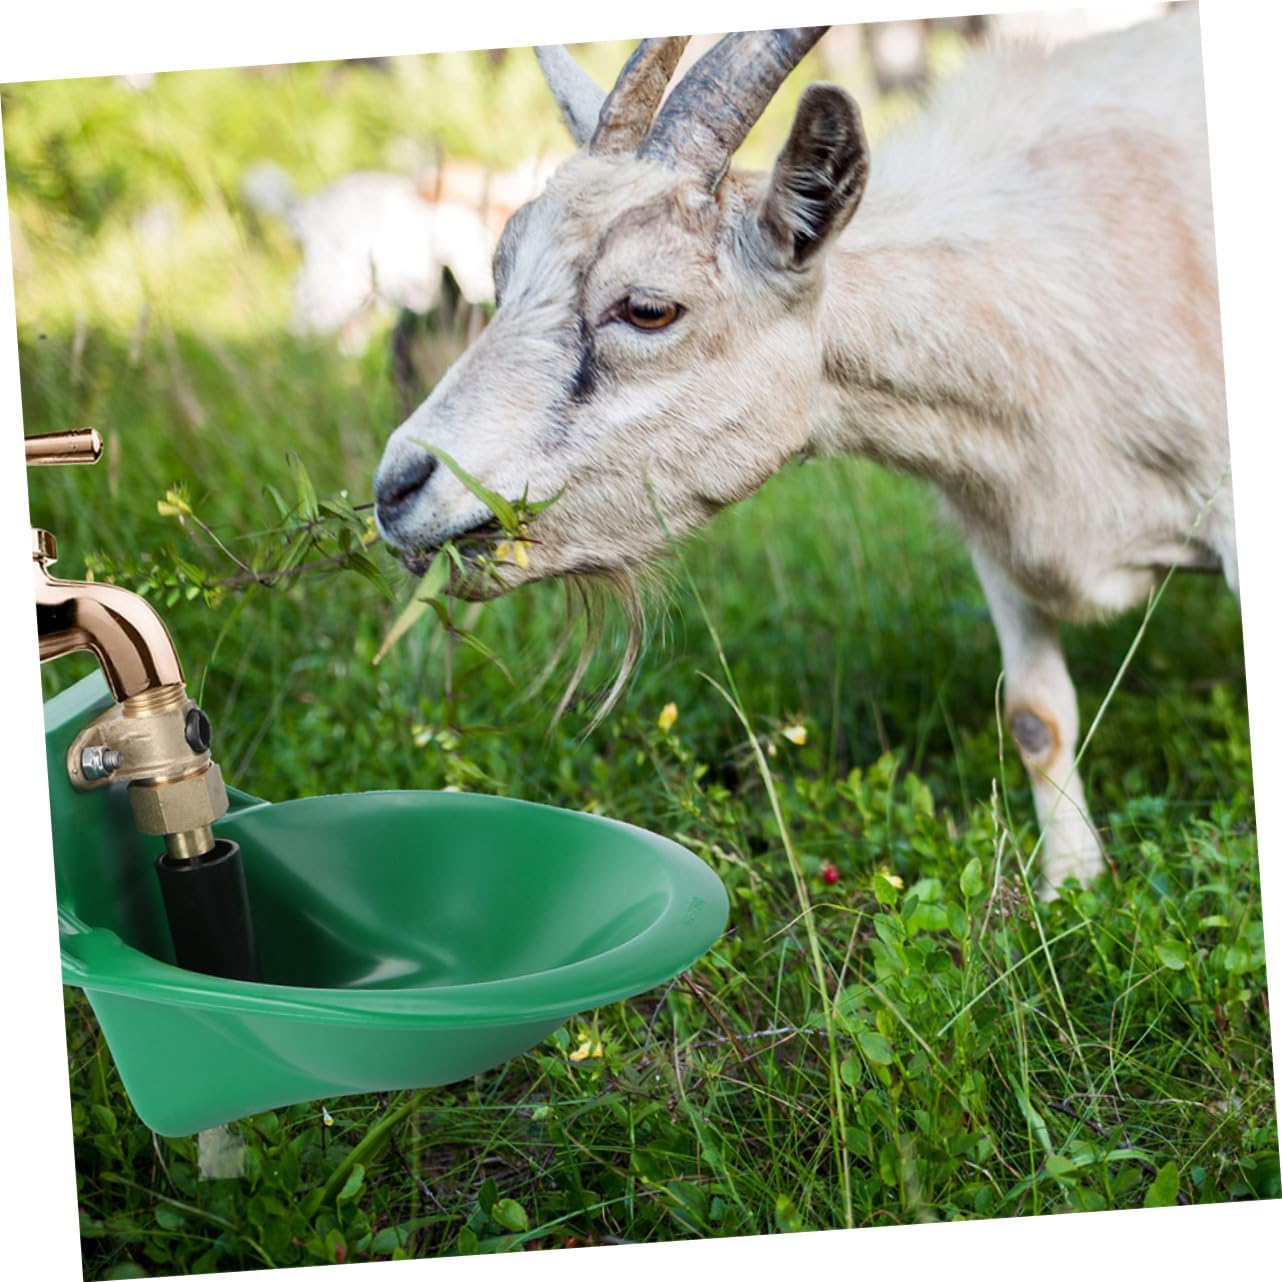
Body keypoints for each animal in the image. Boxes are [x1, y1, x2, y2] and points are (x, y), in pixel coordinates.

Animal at [373, 7, 1233, 896]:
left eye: (648, 307)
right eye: (501, 272)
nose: (398, 489)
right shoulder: (998, 536)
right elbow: (1037, 718)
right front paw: (1073, 890)